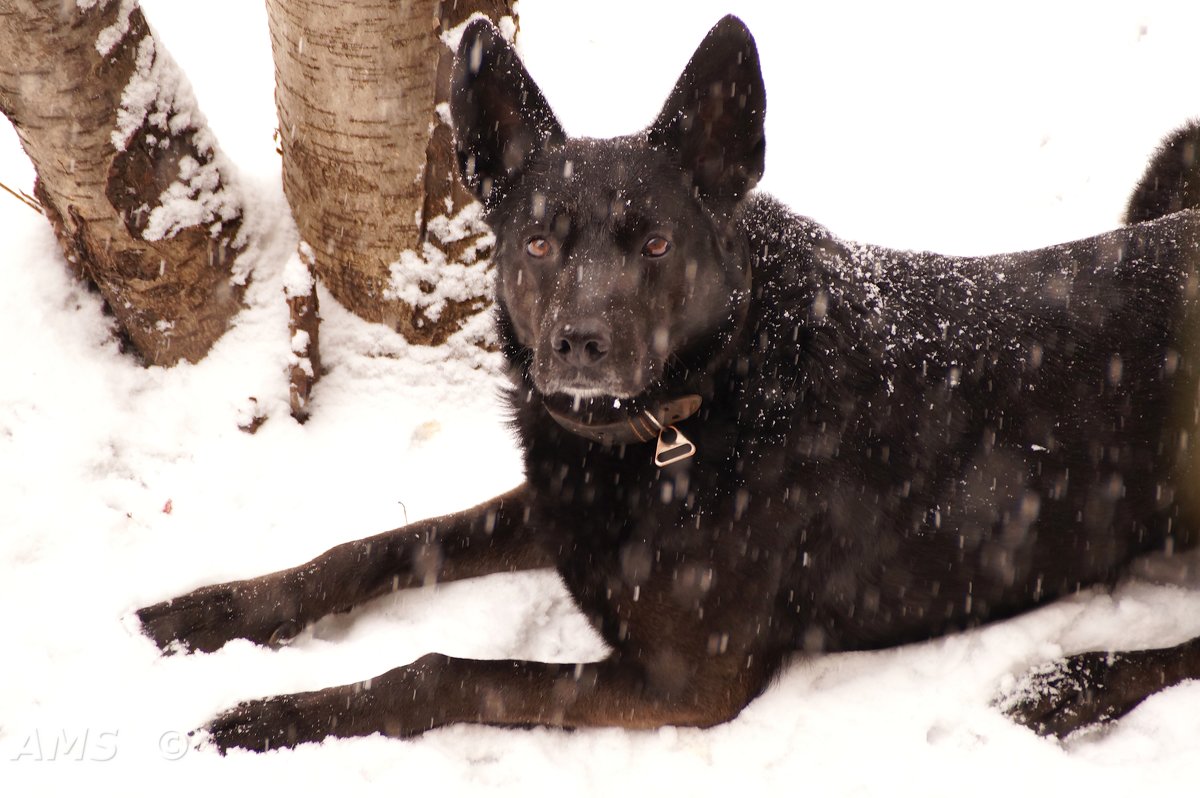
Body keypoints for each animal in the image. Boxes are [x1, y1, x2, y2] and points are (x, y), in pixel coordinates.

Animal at [136, 15, 1200, 748]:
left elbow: (438, 670)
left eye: (653, 243)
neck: (698, 405)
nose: (580, 346)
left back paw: (1069, 684)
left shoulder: (689, 682)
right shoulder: (560, 508)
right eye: (536, 241)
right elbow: (376, 545)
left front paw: (265, 718)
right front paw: (209, 612)